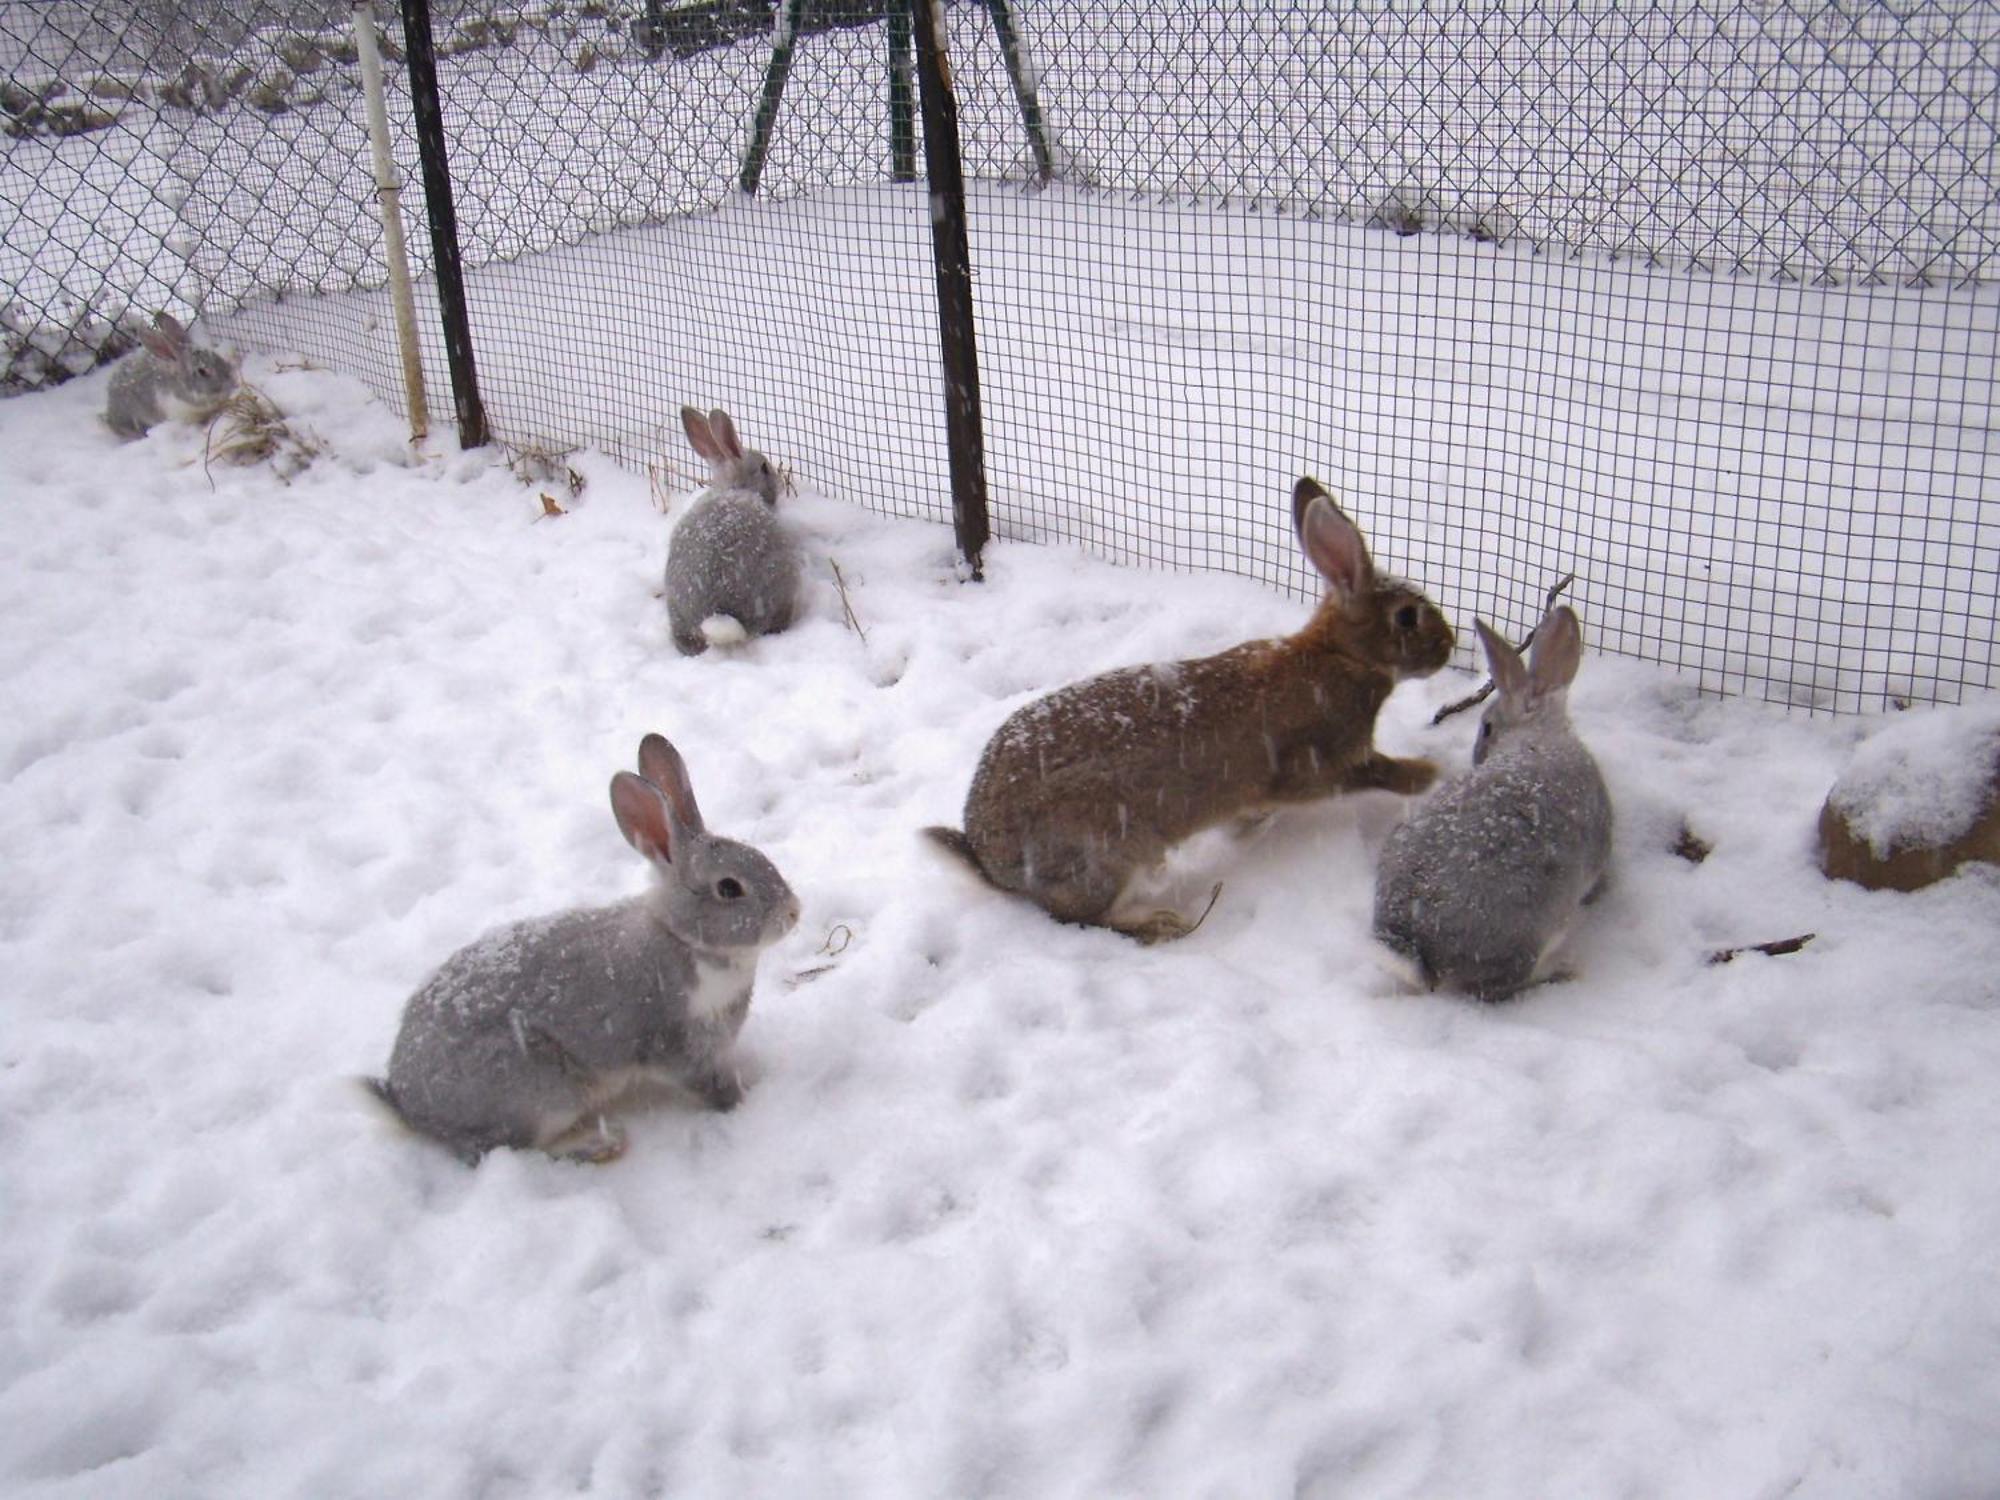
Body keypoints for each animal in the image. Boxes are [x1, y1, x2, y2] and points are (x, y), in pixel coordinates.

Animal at [376, 736, 796, 1168]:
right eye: (729, 888)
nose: (793, 912)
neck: (681, 937)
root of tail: (407, 1105)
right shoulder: (677, 1043)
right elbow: (708, 1084)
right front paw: (741, 1104)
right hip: (543, 1092)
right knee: (518, 1146)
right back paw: (600, 1144)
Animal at [920, 476, 1456, 944]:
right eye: (1407, 617)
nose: (1448, 647)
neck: (1341, 656)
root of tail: (993, 862)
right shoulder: (1323, 763)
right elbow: (1381, 772)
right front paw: (1433, 773)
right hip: (1108, 855)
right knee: (1083, 917)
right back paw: (1159, 924)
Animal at [1368, 604, 1616, 1004]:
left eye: (1486, 728)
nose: (1477, 757)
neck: (1539, 735)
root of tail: (1416, 942)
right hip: (1527, 933)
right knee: (1495, 989)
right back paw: (1558, 975)